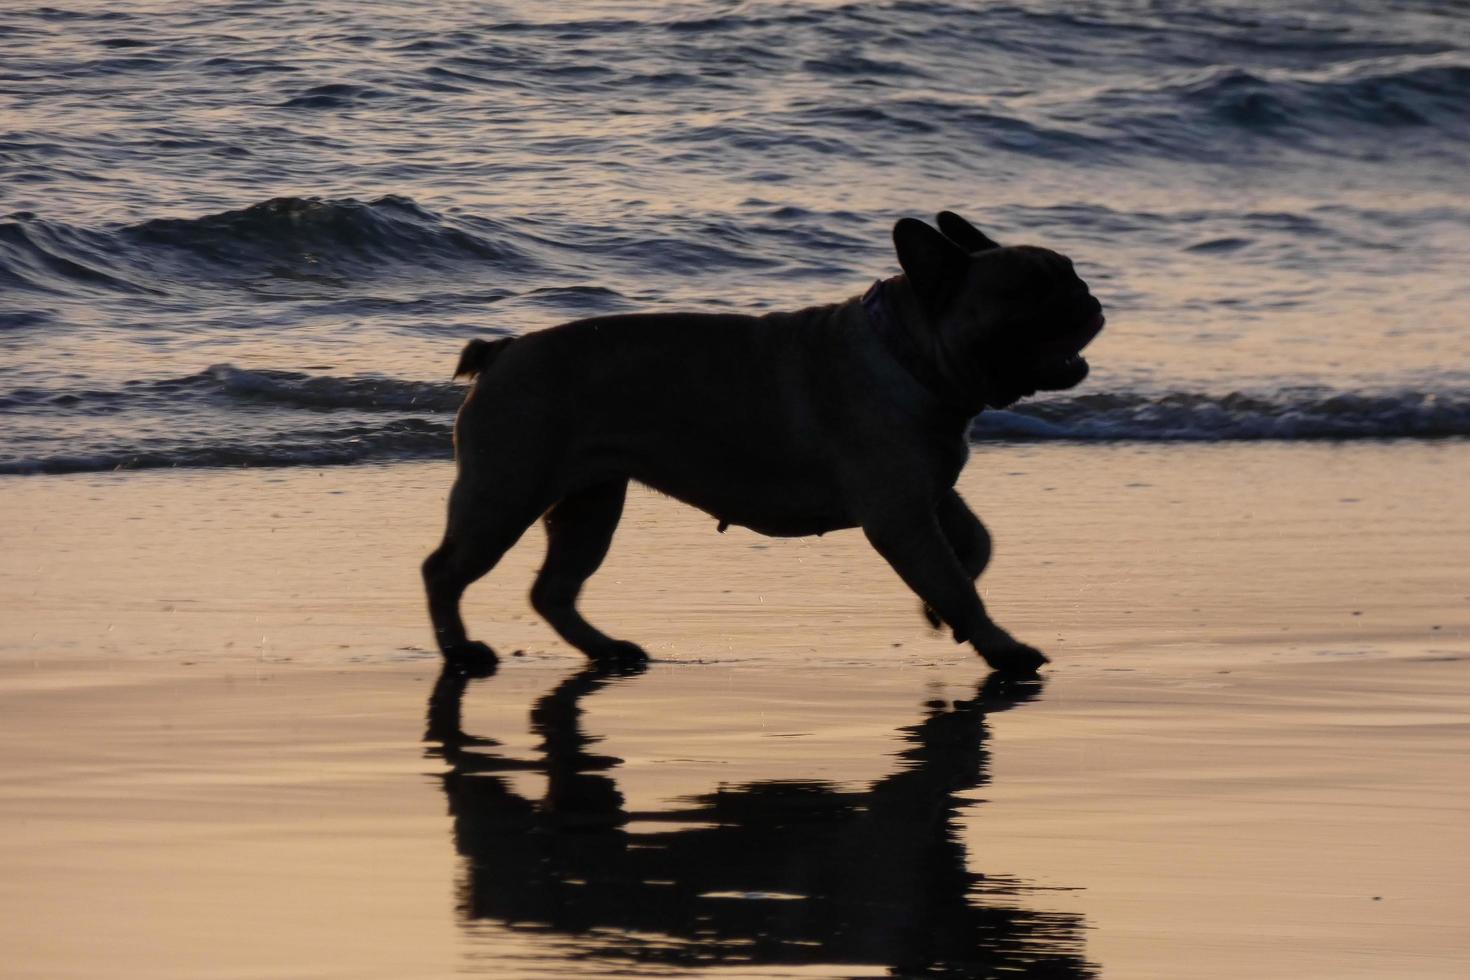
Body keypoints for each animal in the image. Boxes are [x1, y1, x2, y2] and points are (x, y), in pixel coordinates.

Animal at [426, 213, 1105, 675]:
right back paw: (461, 650)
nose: (1088, 297)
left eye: (1070, 273)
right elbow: (956, 581)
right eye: (1027, 292)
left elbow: (974, 546)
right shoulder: (901, 515)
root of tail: (501, 351)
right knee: (444, 570)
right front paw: (999, 646)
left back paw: (606, 649)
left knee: (554, 589)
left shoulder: (928, 495)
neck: (909, 352)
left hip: (590, 505)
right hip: (506, 494)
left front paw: (944, 613)